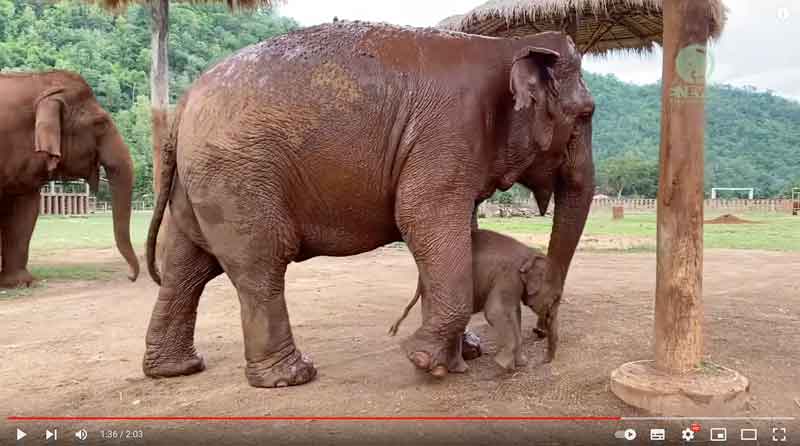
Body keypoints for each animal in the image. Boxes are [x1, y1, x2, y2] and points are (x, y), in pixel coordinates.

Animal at [142, 21, 592, 386]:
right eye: (586, 114)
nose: (541, 336)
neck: (506, 46)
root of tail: (182, 105)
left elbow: (456, 233)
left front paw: (463, 354)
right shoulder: (446, 135)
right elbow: (420, 218)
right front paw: (424, 360)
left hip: (201, 183)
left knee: (187, 266)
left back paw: (176, 369)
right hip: (238, 176)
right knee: (259, 264)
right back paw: (292, 376)